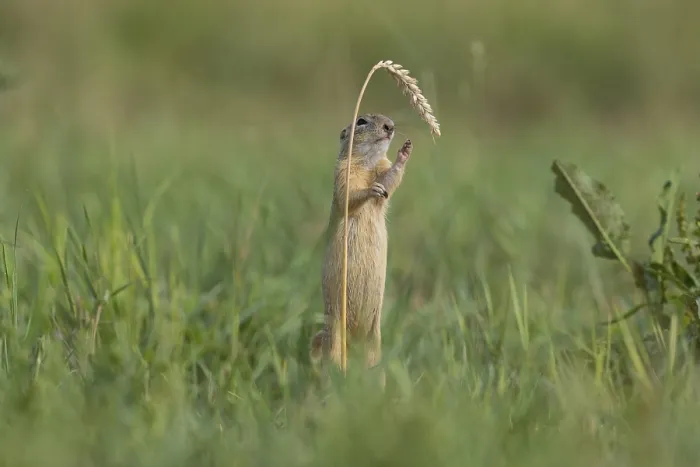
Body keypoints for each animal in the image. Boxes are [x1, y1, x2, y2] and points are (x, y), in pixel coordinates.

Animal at [310, 113, 412, 376]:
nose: (390, 126)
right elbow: (349, 194)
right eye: (362, 121)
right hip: (334, 333)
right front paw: (370, 189)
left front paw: (405, 152)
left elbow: (389, 180)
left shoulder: (382, 167)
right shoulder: (342, 172)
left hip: (374, 339)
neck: (368, 163)